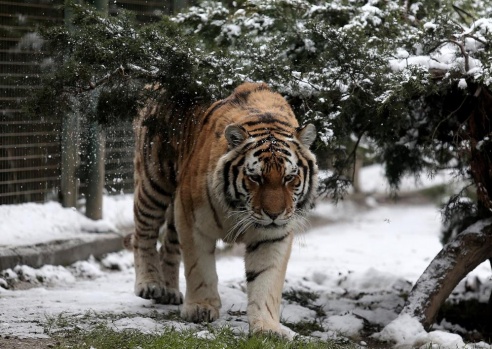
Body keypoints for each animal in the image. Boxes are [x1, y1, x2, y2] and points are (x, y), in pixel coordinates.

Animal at [129, 81, 318, 334]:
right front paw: (200, 308)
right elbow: (199, 267)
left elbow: (266, 280)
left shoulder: (274, 235)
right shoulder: (191, 219)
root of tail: (156, 83)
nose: (274, 214)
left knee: (168, 244)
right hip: (154, 181)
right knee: (143, 233)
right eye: (255, 178)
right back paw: (149, 284)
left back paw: (169, 292)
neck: (239, 209)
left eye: (289, 178)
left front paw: (267, 326)